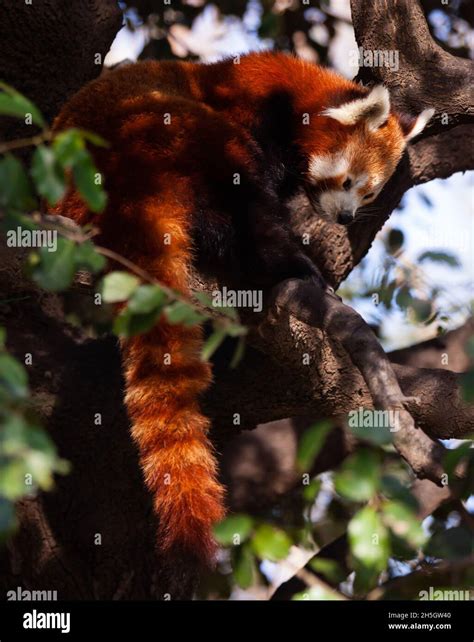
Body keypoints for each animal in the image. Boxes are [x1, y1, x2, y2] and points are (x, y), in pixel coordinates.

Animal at [51, 50, 434, 568]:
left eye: (370, 193)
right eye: (349, 180)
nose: (346, 217)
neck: (288, 97)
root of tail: (126, 181)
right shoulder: (250, 114)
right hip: (167, 129)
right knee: (240, 204)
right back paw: (291, 268)